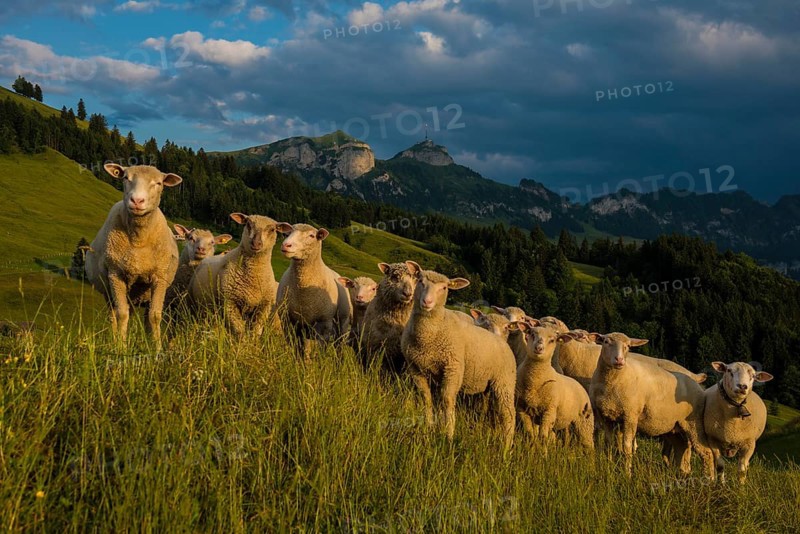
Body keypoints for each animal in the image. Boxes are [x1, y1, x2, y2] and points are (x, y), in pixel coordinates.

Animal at [85, 163, 182, 348]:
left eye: (158, 183)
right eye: (125, 178)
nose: (137, 201)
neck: (138, 240)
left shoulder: (159, 277)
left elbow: (155, 316)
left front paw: (157, 348)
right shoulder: (116, 275)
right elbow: (122, 314)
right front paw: (121, 346)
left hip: (146, 293)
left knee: (146, 317)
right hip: (109, 291)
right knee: (113, 315)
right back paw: (113, 340)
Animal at [276, 223, 351, 354]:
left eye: (311, 235)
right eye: (287, 233)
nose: (286, 245)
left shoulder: (324, 325)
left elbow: (321, 351)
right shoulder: (288, 322)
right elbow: (297, 350)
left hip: (342, 325)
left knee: (339, 348)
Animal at [400, 261, 517, 451]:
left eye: (444, 287)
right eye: (420, 281)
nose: (427, 302)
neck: (429, 335)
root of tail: (503, 342)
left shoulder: (453, 367)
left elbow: (447, 400)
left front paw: (448, 435)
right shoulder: (415, 368)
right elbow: (426, 398)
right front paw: (429, 425)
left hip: (504, 381)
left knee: (508, 414)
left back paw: (506, 448)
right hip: (487, 386)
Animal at [511, 322, 594, 451]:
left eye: (552, 340)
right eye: (531, 334)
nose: (538, 348)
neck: (534, 381)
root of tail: (578, 384)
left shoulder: (549, 411)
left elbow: (543, 437)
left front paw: (543, 453)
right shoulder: (521, 409)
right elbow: (530, 435)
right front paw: (530, 451)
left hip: (585, 423)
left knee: (588, 445)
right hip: (565, 425)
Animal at [588, 332, 715, 478]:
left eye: (628, 346)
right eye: (606, 342)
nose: (619, 360)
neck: (612, 382)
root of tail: (697, 383)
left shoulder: (630, 415)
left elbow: (627, 447)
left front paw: (627, 474)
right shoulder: (606, 416)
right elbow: (608, 445)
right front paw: (609, 468)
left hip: (694, 423)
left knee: (706, 452)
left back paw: (709, 479)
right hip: (676, 427)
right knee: (682, 447)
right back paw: (681, 473)